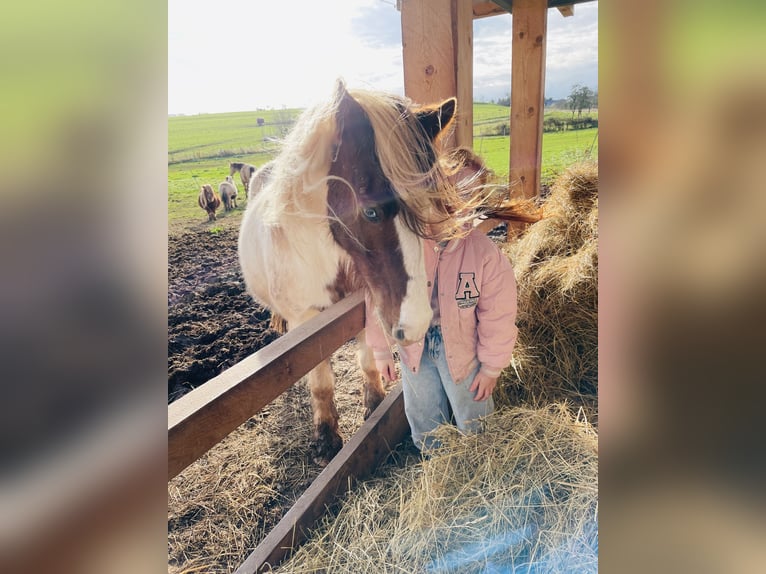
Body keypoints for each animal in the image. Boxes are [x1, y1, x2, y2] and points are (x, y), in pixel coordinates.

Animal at [240, 80, 468, 468]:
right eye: (371, 212)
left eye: (433, 205)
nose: (418, 324)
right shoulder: (307, 321)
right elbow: (320, 381)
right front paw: (327, 438)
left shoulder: (365, 304)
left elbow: (367, 358)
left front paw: (373, 404)